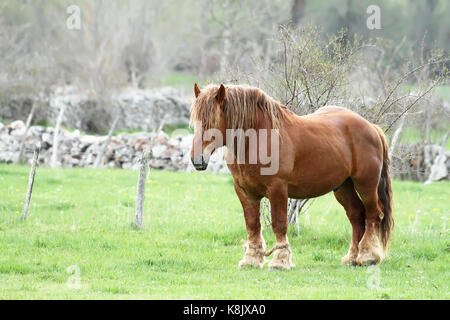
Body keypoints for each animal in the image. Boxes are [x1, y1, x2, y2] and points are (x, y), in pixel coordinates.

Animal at [190, 84, 394, 268]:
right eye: (195, 122)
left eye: (212, 121)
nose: (196, 159)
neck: (257, 139)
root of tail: (372, 127)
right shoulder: (245, 192)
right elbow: (252, 224)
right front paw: (251, 259)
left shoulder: (277, 189)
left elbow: (279, 223)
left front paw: (280, 260)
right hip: (343, 186)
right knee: (356, 214)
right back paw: (352, 257)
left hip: (365, 185)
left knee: (374, 214)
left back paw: (367, 257)